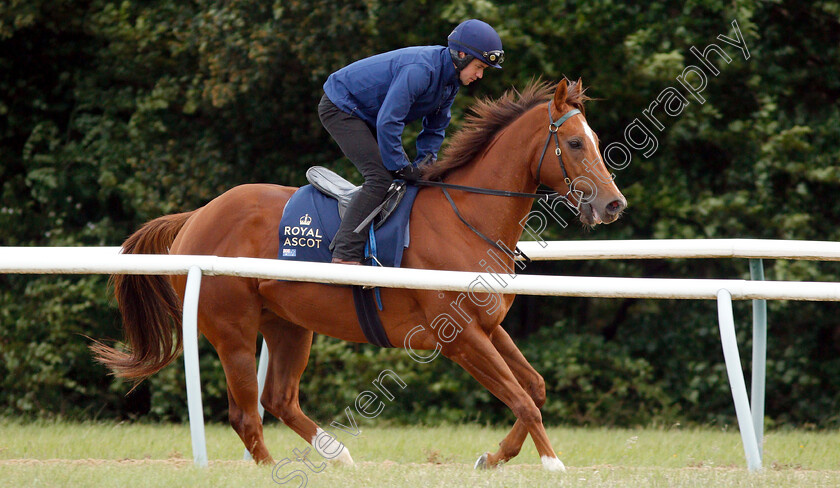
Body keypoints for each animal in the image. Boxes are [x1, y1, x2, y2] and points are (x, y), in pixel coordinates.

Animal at [95, 79, 628, 468]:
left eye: (598, 141)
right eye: (575, 142)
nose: (613, 204)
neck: (467, 218)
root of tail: (195, 218)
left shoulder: (488, 326)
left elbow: (533, 388)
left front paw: (494, 458)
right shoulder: (458, 336)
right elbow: (521, 398)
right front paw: (552, 465)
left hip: (288, 324)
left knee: (279, 399)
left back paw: (339, 455)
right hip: (233, 329)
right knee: (246, 414)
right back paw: (274, 469)